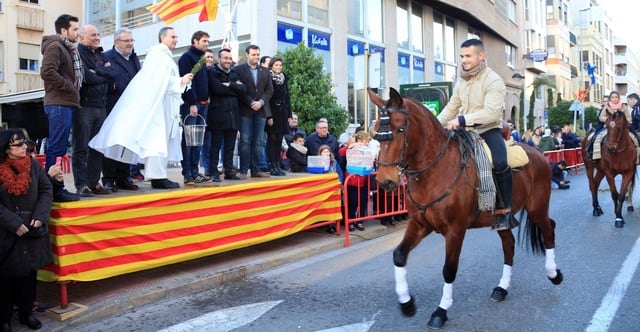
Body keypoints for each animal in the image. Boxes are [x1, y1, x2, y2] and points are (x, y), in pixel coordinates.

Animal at [368, 88, 564, 330]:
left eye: (400, 128)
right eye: (376, 132)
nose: (385, 181)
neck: (435, 170)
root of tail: (537, 153)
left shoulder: (455, 230)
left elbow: (449, 269)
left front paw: (440, 311)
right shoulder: (420, 224)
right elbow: (399, 255)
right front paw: (407, 303)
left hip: (537, 208)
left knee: (548, 229)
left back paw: (553, 274)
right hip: (500, 219)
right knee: (509, 245)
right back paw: (502, 288)